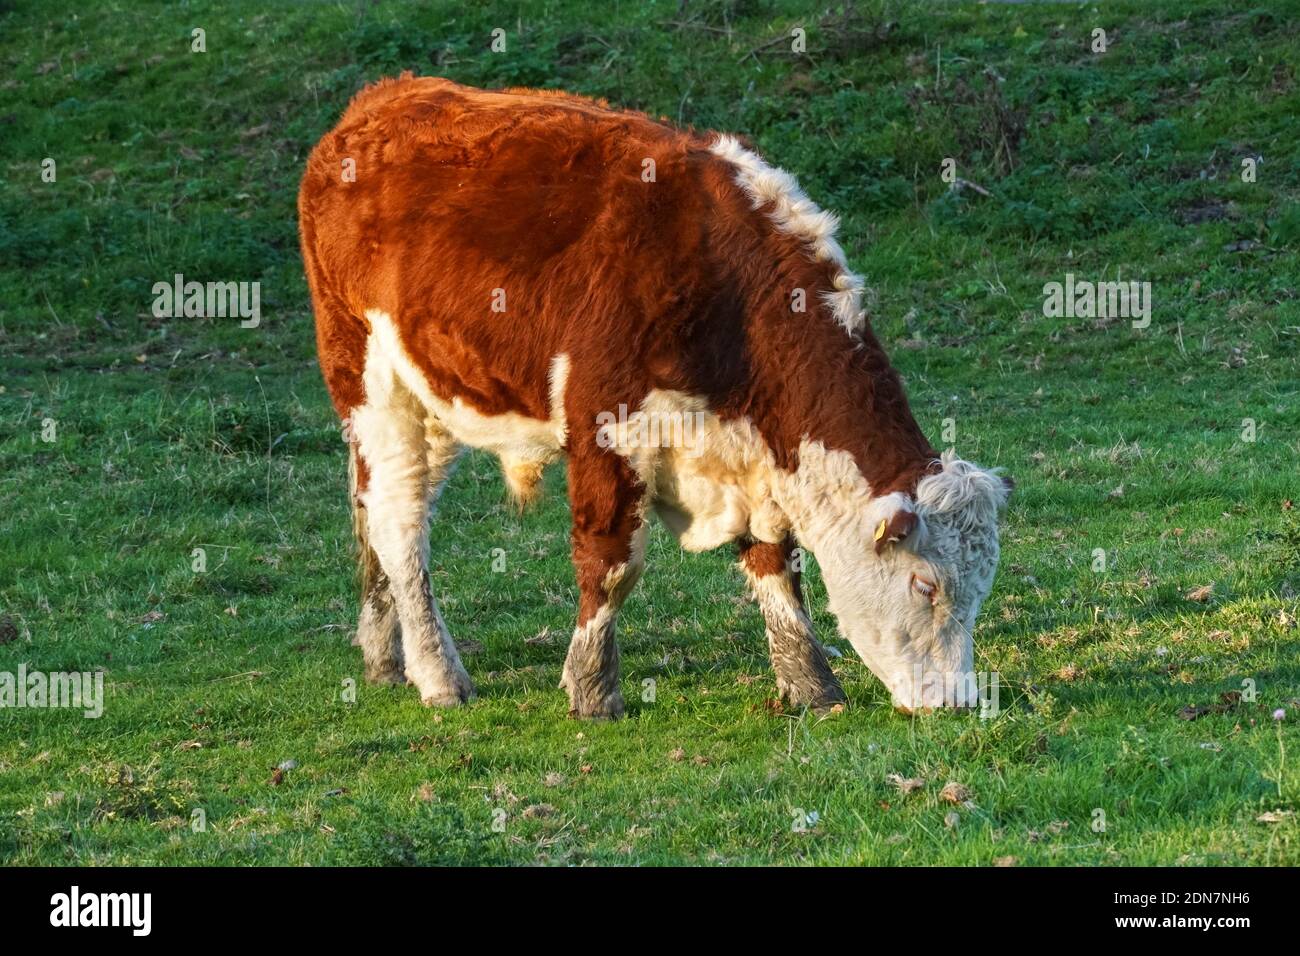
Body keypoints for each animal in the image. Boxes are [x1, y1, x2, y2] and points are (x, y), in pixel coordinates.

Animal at [298, 74, 1011, 719]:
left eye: (981, 589)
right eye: (926, 585)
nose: (957, 702)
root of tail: (379, 100)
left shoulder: (756, 456)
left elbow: (777, 562)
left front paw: (811, 684)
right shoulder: (605, 426)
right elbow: (611, 562)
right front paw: (592, 690)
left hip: (433, 401)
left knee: (372, 511)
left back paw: (384, 654)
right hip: (372, 383)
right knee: (399, 522)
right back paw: (439, 675)